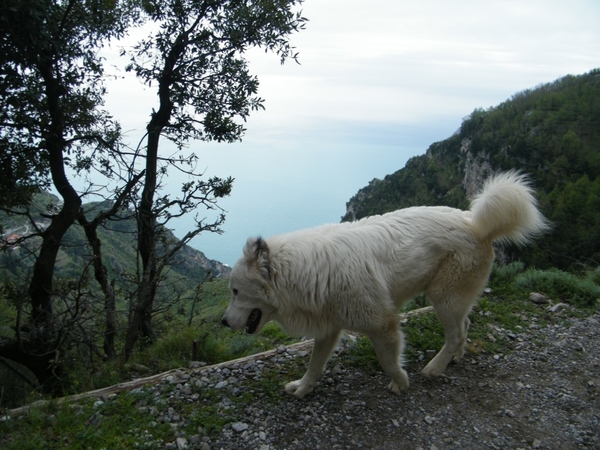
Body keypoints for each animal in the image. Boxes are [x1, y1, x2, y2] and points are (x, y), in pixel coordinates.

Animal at [221, 171, 548, 398]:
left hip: (443, 298)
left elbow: (387, 361)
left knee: (455, 333)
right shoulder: (328, 328)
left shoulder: (382, 324)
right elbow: (315, 364)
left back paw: (434, 368)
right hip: (453, 298)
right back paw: (453, 358)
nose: (223, 322)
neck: (305, 272)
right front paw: (303, 388)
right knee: (465, 326)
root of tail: (474, 222)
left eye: (235, 291)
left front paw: (400, 383)